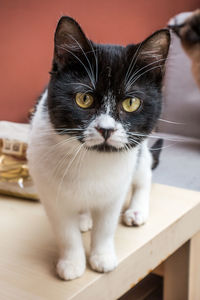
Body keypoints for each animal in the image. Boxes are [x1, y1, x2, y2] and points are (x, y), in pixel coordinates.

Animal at [27, 15, 170, 278]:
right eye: (84, 99)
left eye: (131, 103)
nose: (106, 129)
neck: (91, 160)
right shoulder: (51, 194)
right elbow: (65, 230)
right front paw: (72, 262)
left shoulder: (116, 189)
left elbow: (106, 226)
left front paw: (102, 257)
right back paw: (84, 218)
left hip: (140, 155)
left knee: (144, 177)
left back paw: (136, 210)